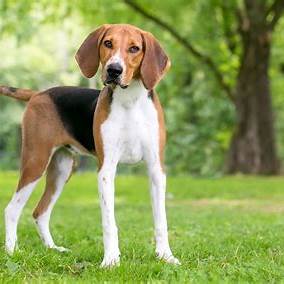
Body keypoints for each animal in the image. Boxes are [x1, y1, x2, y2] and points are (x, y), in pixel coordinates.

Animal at [1, 23, 180, 266]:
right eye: (108, 43)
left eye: (134, 48)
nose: (114, 70)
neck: (130, 102)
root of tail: (39, 93)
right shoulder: (106, 170)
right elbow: (109, 222)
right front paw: (111, 260)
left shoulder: (156, 169)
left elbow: (161, 220)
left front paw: (165, 256)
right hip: (35, 161)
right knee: (12, 209)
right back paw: (12, 252)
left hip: (62, 169)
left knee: (40, 212)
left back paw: (53, 249)